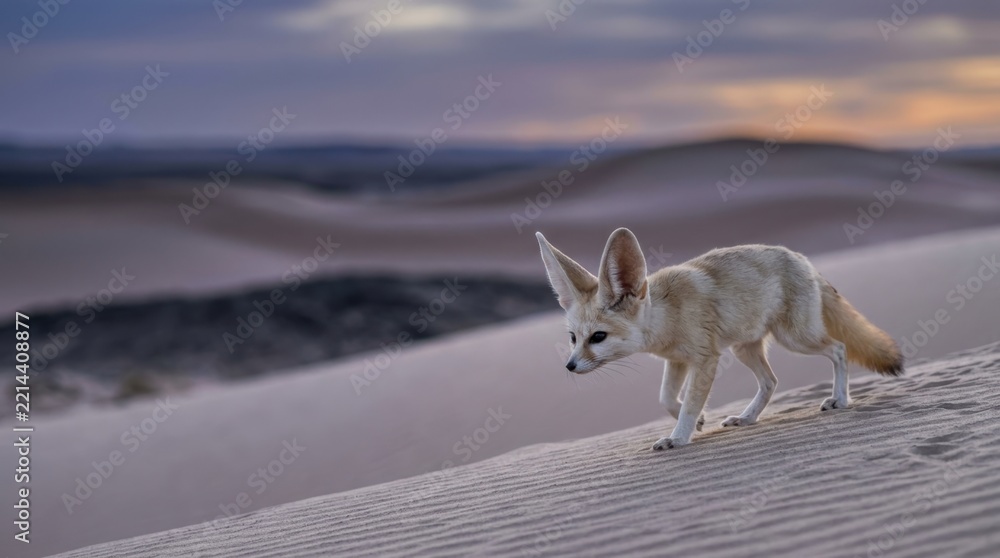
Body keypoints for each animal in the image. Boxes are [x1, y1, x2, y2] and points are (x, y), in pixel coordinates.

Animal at [535, 228, 903, 451]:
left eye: (598, 337)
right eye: (573, 338)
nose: (569, 366)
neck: (666, 315)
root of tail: (803, 259)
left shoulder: (705, 359)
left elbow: (688, 402)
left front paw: (679, 437)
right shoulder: (677, 360)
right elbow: (666, 398)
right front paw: (696, 421)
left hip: (796, 338)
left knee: (839, 349)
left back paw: (840, 399)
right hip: (745, 349)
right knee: (771, 381)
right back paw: (747, 418)